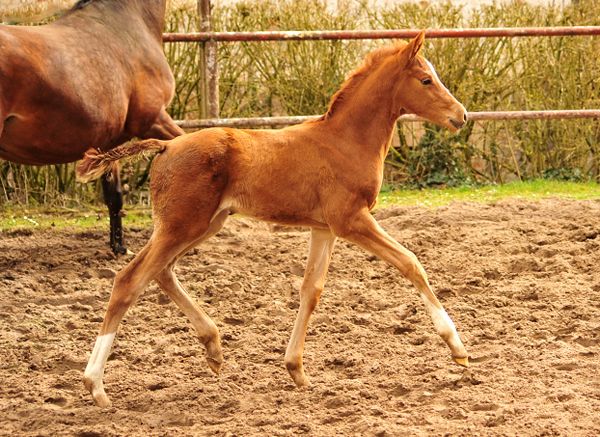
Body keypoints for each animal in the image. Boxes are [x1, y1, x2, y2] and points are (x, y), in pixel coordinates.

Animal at [76, 31, 468, 408]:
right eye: (426, 80)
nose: (462, 115)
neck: (345, 141)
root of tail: (166, 146)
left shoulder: (324, 229)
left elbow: (311, 290)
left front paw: (296, 369)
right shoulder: (350, 220)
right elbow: (411, 262)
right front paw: (458, 348)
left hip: (204, 224)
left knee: (162, 272)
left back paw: (213, 347)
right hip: (181, 226)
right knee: (129, 280)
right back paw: (96, 385)